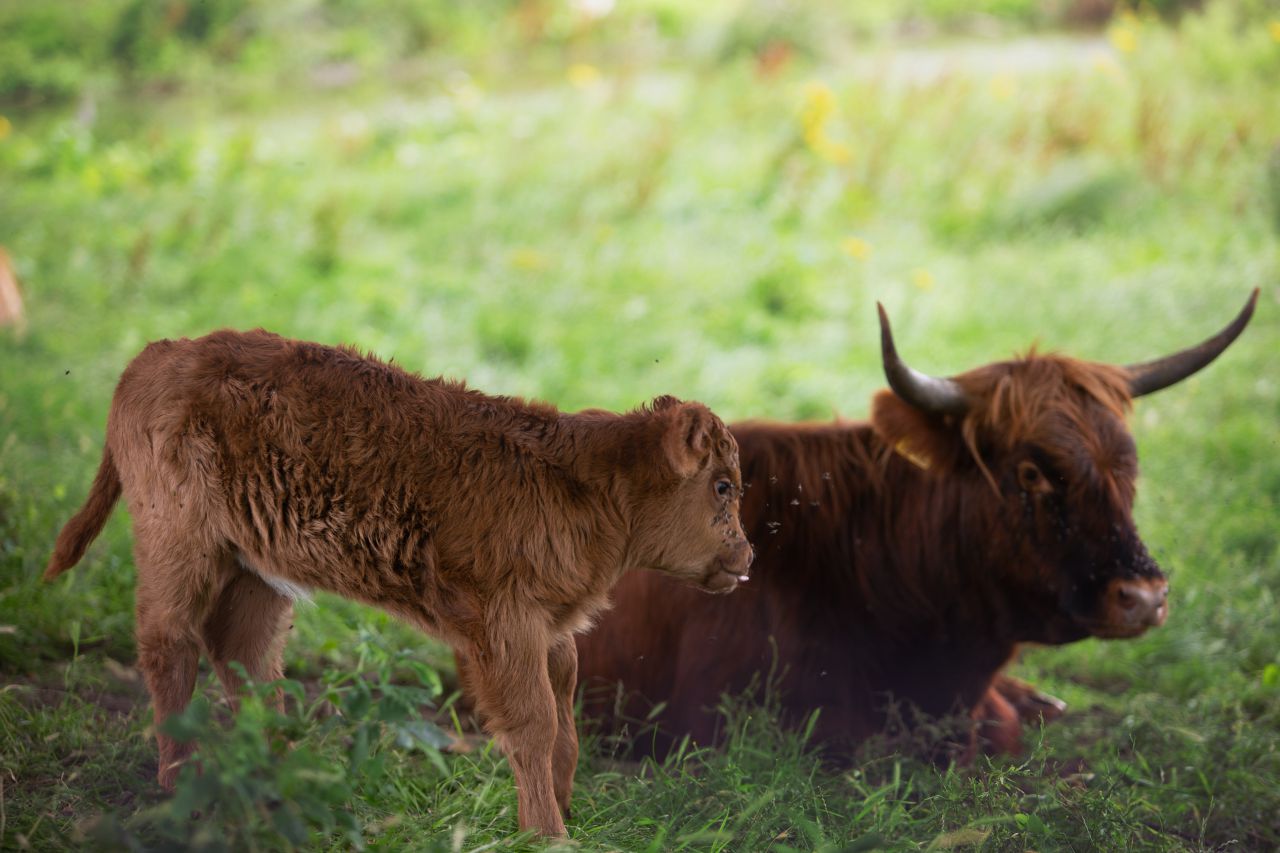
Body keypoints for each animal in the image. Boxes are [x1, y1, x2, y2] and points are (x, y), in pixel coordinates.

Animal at [47, 326, 747, 835]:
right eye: (723, 486)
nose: (746, 555)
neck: (585, 482)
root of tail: (161, 353)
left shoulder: (552, 631)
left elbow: (565, 722)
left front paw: (567, 806)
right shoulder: (507, 628)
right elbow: (534, 724)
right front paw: (548, 832)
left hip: (254, 567)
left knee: (245, 655)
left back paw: (277, 783)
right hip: (179, 545)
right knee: (170, 646)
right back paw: (180, 787)